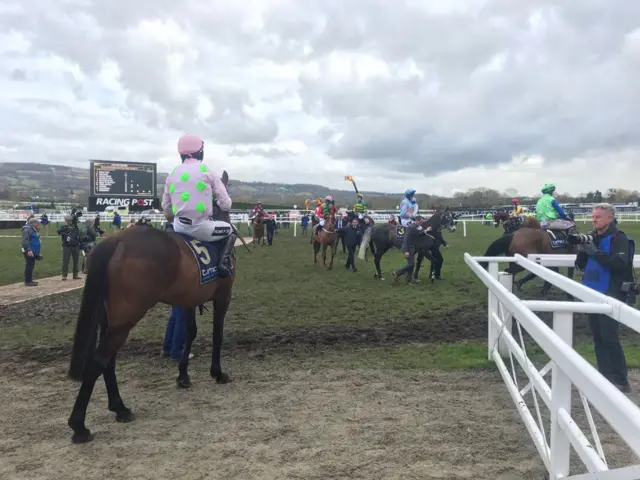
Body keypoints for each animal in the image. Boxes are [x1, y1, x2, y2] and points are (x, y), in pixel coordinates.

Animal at [66, 171, 244, 444]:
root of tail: (117, 240)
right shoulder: (223, 295)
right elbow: (217, 334)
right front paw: (217, 373)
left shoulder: (187, 300)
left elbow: (190, 332)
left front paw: (183, 376)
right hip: (126, 317)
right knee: (99, 360)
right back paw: (79, 425)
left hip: (110, 318)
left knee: (108, 360)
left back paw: (119, 408)